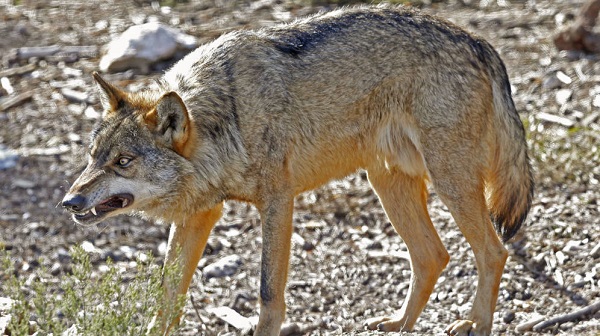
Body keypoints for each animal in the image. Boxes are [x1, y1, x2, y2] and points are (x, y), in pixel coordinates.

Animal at [62, 5, 528, 336]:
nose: (70, 201)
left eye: (123, 161)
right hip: (387, 183)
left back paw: (476, 325)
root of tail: (480, 41)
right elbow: (168, 294)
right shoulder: (200, 214)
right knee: (433, 255)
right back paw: (399, 324)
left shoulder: (277, 201)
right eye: (93, 156)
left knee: (493, 251)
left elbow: (268, 292)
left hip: (449, 183)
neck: (228, 117)